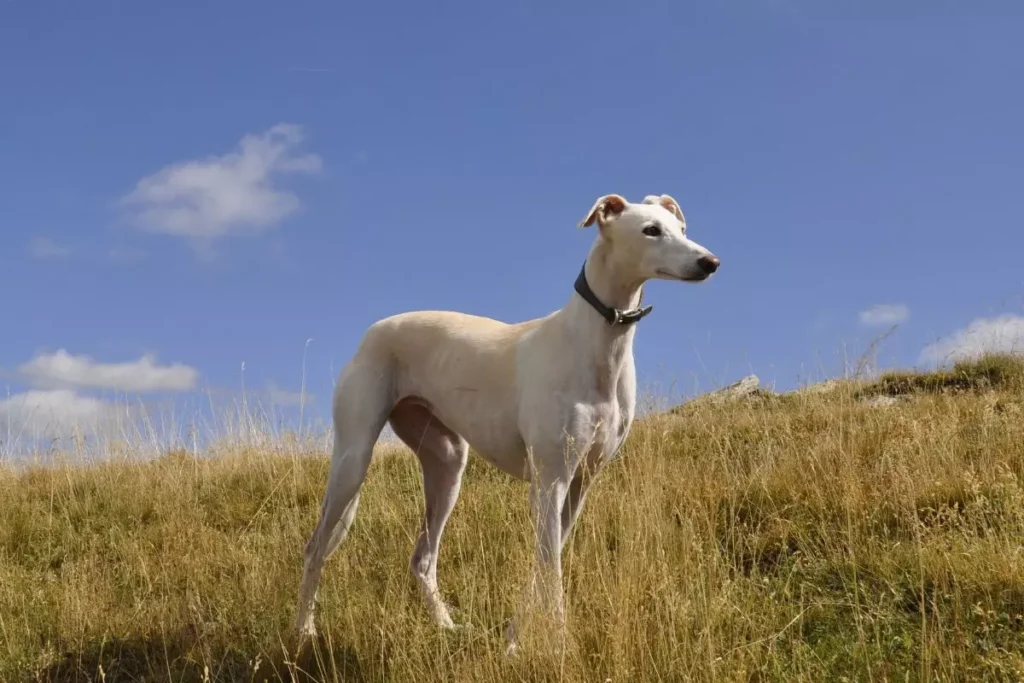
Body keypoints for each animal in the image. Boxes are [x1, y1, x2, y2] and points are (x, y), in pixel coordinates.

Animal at [292, 192, 716, 651]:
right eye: (650, 230)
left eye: (682, 229)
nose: (710, 262)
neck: (596, 342)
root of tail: (372, 330)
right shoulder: (549, 481)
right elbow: (550, 568)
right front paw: (558, 646)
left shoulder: (580, 483)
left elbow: (544, 562)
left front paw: (514, 640)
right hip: (353, 460)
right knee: (315, 547)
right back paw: (304, 629)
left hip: (447, 465)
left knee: (423, 558)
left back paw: (446, 625)